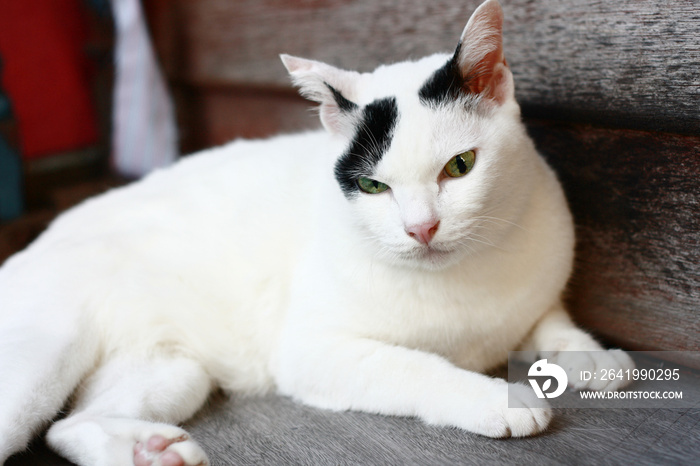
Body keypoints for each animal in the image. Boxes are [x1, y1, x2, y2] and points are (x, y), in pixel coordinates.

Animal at [1, 1, 636, 464]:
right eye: (374, 187)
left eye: (460, 167)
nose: (422, 227)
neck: (465, 282)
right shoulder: (314, 352)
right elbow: (417, 366)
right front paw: (495, 397)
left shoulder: (535, 292)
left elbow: (548, 317)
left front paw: (588, 354)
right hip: (46, 356)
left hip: (172, 369)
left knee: (70, 426)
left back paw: (150, 450)